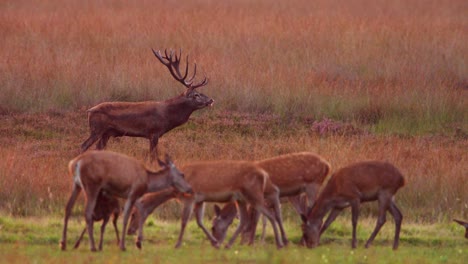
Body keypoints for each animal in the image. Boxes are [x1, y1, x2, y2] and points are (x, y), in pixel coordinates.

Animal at [60, 151, 192, 252]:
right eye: (182, 174)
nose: (189, 188)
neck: (148, 182)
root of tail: (75, 163)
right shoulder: (133, 192)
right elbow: (126, 217)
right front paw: (123, 245)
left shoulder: (134, 196)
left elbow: (142, 211)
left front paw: (138, 242)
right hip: (92, 185)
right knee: (87, 212)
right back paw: (92, 247)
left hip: (76, 184)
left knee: (68, 207)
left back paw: (63, 244)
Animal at [80, 49, 214, 160]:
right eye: (196, 95)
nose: (211, 100)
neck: (168, 115)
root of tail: (89, 111)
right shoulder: (154, 132)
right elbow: (153, 156)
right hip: (97, 129)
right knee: (83, 146)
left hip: (106, 133)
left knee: (98, 149)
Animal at [129, 160, 288, 249]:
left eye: (134, 214)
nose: (130, 231)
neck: (174, 189)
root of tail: (264, 174)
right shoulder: (200, 200)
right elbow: (199, 221)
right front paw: (215, 242)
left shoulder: (191, 197)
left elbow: (184, 221)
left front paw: (177, 244)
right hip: (241, 198)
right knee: (245, 219)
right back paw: (228, 244)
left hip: (253, 194)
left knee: (270, 214)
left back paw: (280, 243)